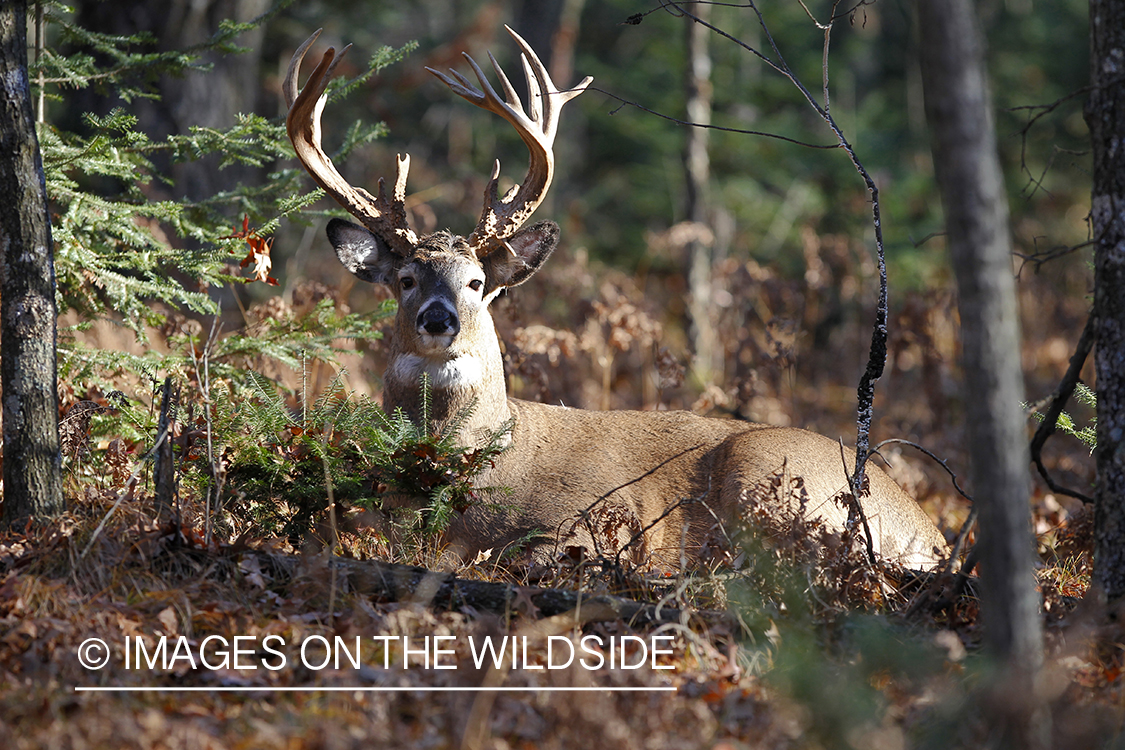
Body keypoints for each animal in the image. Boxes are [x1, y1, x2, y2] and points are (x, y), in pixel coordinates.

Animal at [283, 26, 949, 571]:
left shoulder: (599, 516)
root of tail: (932, 534)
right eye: (405, 280)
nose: (438, 319)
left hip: (769, 473)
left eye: (476, 282)